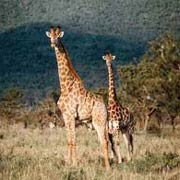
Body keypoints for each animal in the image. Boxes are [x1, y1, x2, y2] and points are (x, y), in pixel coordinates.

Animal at [45, 26, 109, 169]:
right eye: (50, 36)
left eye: (58, 36)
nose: (53, 43)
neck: (65, 86)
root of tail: (104, 106)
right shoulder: (65, 116)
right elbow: (69, 140)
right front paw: (68, 163)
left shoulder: (71, 115)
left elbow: (74, 140)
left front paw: (74, 164)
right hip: (96, 122)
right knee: (105, 140)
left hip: (99, 121)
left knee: (104, 141)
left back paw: (108, 168)